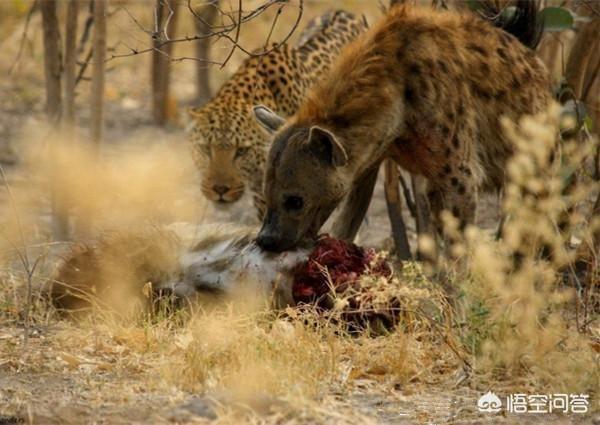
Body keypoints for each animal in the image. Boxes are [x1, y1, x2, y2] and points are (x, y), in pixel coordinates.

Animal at [253, 3, 552, 250]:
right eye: (266, 195)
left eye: (295, 200)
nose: (265, 240)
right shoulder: (369, 156)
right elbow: (349, 218)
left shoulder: (461, 173)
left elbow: (458, 243)